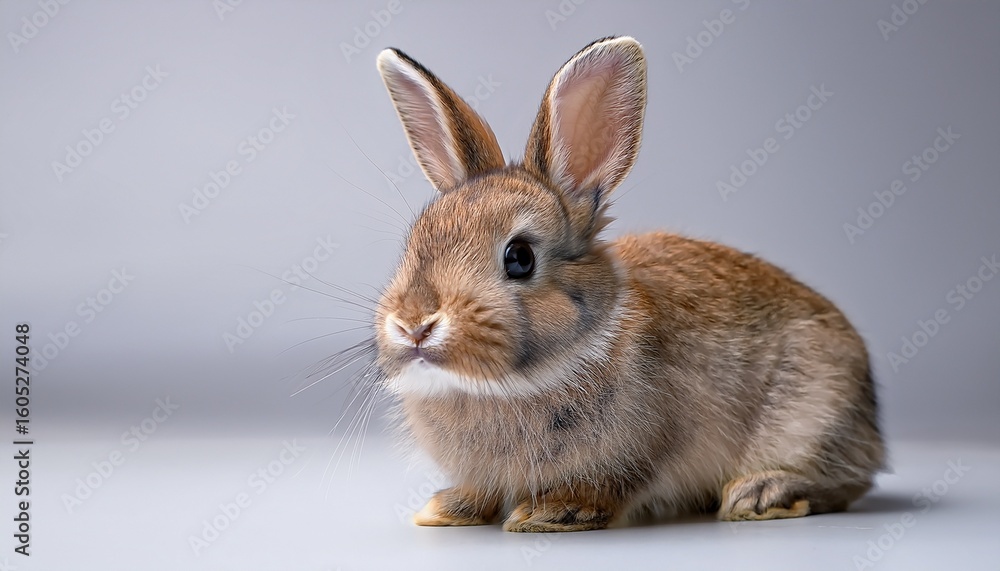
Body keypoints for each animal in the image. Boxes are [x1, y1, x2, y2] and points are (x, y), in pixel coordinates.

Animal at [370, 36, 885, 532]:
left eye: (519, 258)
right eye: (413, 245)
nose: (414, 325)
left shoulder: (646, 444)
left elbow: (612, 482)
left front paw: (553, 513)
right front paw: (447, 510)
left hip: (814, 415)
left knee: (841, 481)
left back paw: (759, 493)